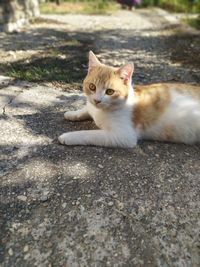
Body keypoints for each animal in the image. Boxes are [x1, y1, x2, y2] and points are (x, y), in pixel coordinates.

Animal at [57, 51, 200, 148]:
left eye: (110, 91)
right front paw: (72, 113)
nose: (97, 100)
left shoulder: (123, 136)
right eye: (92, 87)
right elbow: (86, 109)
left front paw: (69, 136)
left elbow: (90, 134)